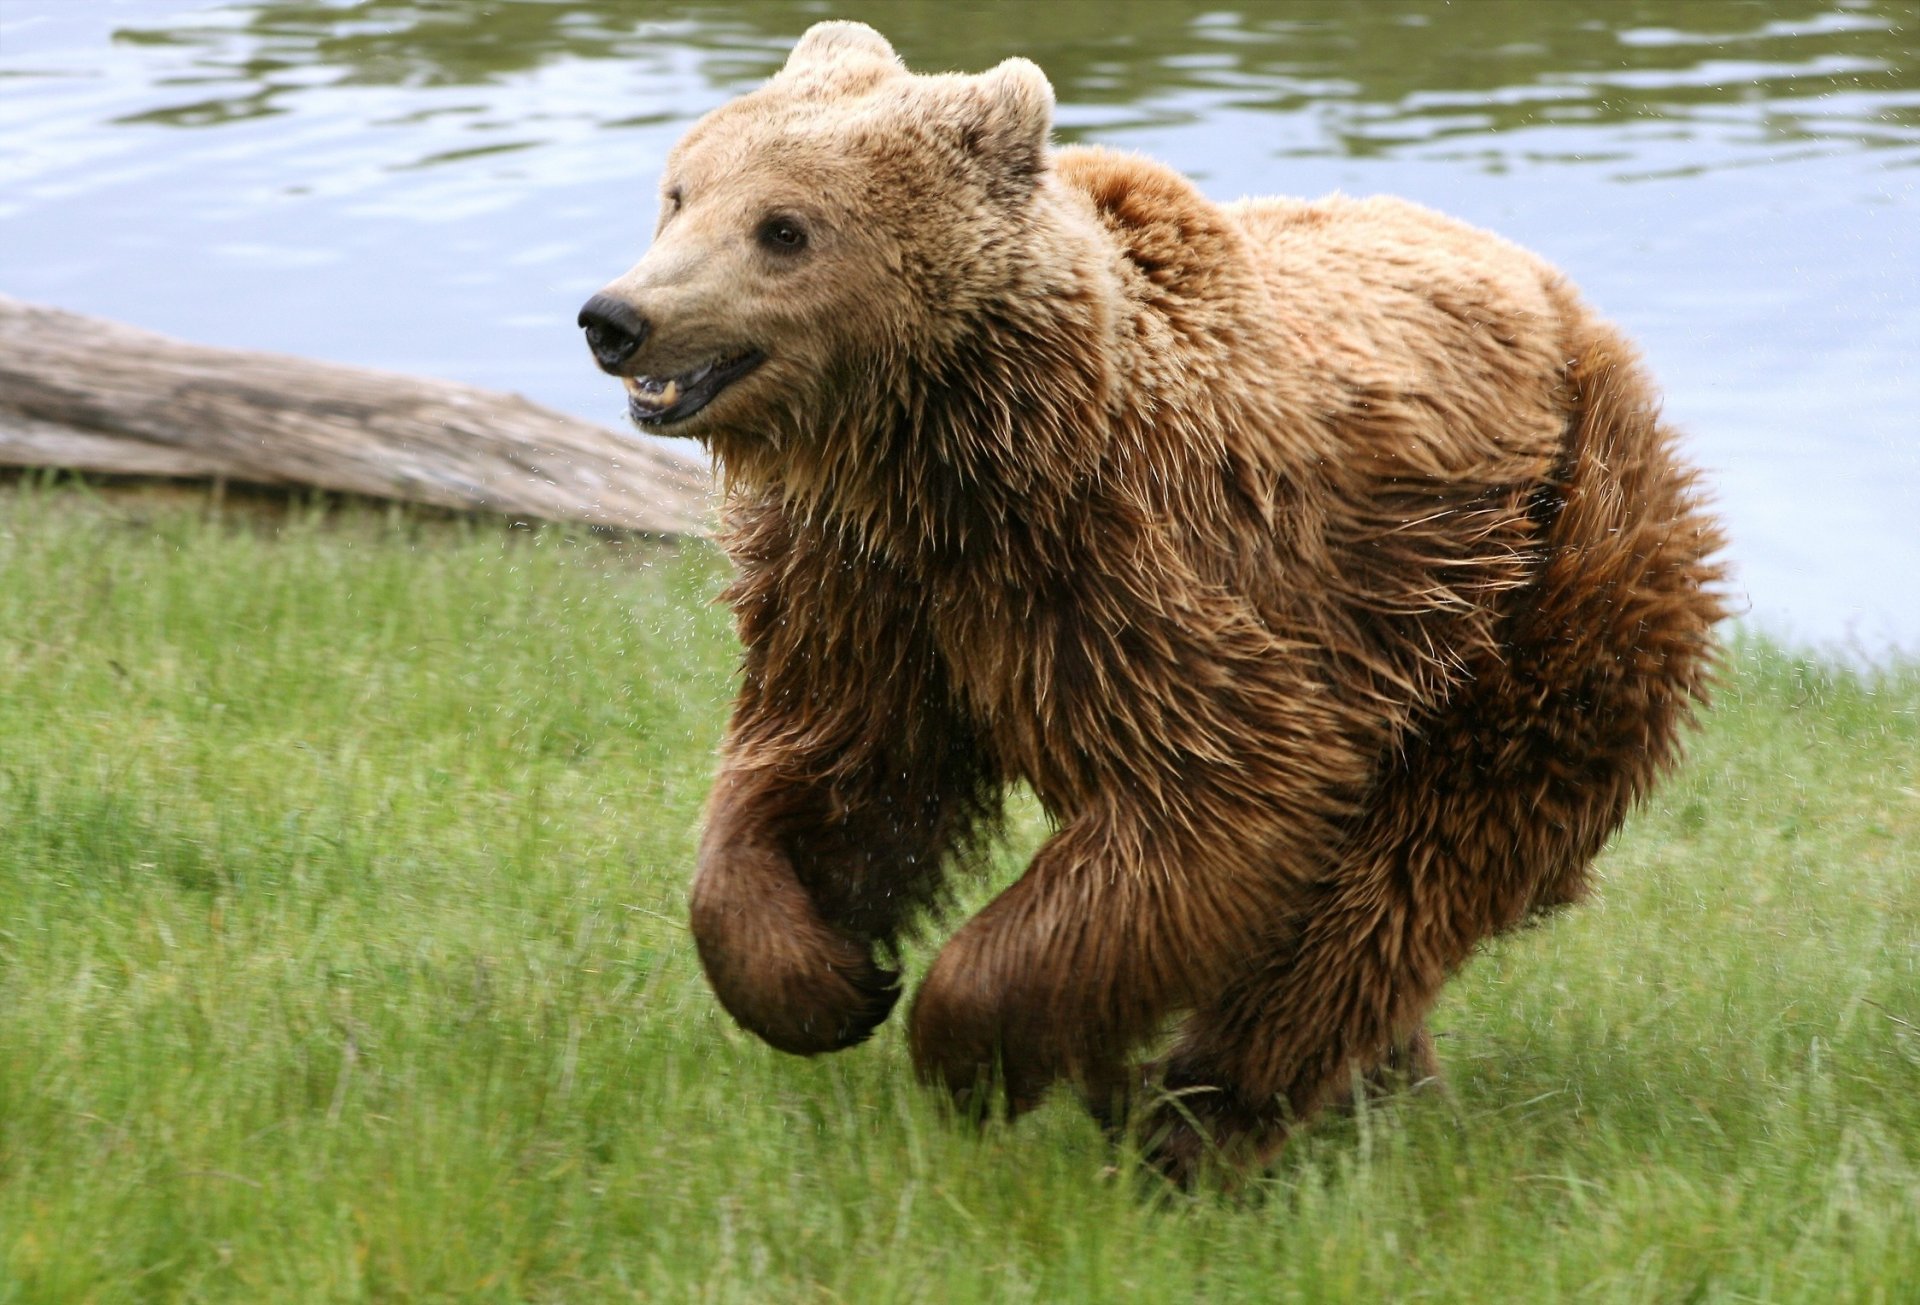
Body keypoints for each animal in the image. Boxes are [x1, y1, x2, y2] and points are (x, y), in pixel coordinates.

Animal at [577, 21, 1727, 1185]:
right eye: (680, 192)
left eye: (784, 228)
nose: (618, 317)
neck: (950, 456)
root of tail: (1573, 310)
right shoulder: (865, 589)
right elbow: (836, 769)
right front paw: (827, 979)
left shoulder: (1143, 570)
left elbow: (1216, 799)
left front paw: (966, 1050)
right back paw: (1365, 1091)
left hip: (1535, 582)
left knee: (1407, 874)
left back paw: (1198, 1117)